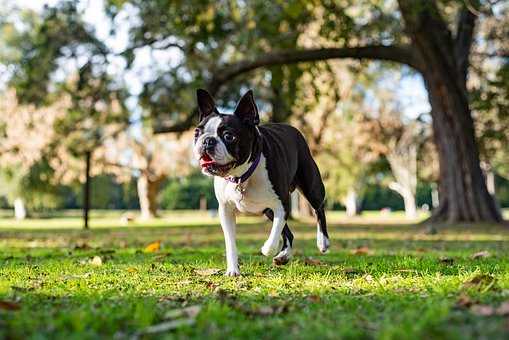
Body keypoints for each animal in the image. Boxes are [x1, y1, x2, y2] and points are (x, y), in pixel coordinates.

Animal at [191, 88, 330, 276]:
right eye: (197, 133)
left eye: (229, 136)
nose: (207, 140)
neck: (241, 176)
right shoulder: (226, 211)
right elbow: (230, 243)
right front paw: (233, 270)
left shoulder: (282, 204)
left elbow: (274, 234)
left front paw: (266, 249)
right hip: (268, 210)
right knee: (289, 233)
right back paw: (284, 256)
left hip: (311, 185)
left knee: (319, 209)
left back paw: (322, 242)